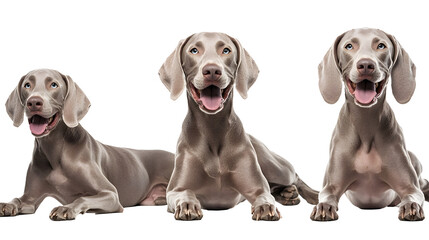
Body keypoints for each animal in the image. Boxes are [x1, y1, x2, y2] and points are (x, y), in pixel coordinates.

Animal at [1, 68, 174, 220]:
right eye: (27, 85)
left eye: (54, 85)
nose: (33, 102)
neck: (54, 149)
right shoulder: (30, 198)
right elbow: (19, 200)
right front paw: (8, 205)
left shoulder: (111, 194)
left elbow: (82, 198)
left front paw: (66, 208)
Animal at [158, 32, 318, 221]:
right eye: (194, 50)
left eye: (226, 50)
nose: (212, 70)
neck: (212, 127)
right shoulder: (175, 190)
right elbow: (184, 193)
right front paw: (187, 205)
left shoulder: (257, 187)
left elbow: (264, 195)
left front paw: (265, 207)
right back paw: (287, 194)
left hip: (275, 167)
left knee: (295, 177)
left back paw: (309, 194)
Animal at [310, 27, 428, 221]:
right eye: (349, 46)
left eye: (381, 46)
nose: (365, 65)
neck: (365, 123)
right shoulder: (330, 186)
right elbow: (326, 196)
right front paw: (324, 208)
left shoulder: (410, 187)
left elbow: (413, 195)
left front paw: (410, 206)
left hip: (415, 161)